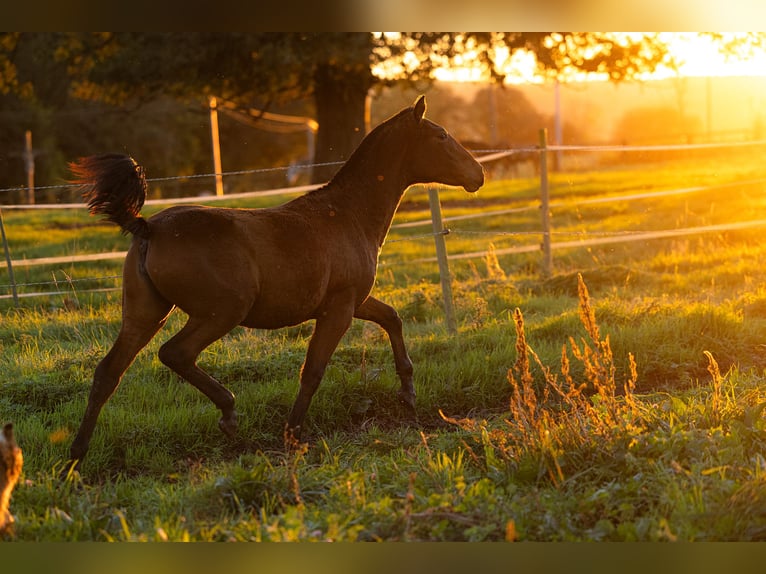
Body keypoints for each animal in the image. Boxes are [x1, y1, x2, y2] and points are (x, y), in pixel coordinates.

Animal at [67, 95, 486, 468]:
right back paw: (229, 413)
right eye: (441, 136)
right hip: (221, 313)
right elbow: (313, 370)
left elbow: (392, 318)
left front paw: (408, 394)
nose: (478, 174)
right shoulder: (338, 310)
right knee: (175, 353)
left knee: (108, 373)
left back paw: (76, 456)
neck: (348, 214)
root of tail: (147, 227)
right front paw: (293, 434)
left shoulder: (354, 301)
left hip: (145, 314)